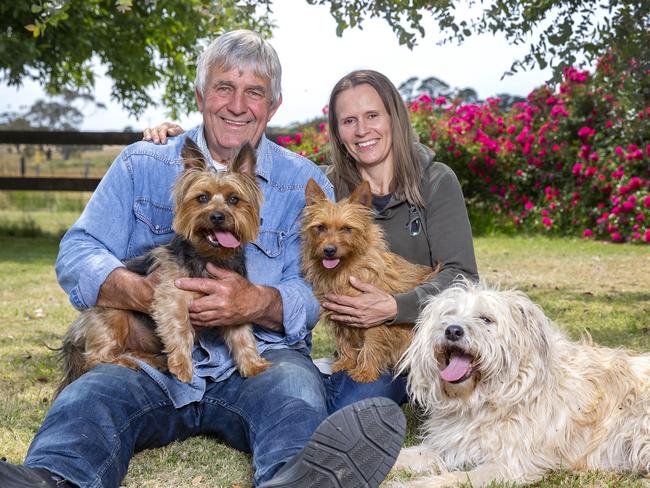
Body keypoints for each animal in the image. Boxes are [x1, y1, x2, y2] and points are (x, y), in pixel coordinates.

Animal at [55, 137, 268, 396]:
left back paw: (151, 360)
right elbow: (180, 327)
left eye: (234, 199)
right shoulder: (173, 296)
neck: (210, 256)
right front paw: (183, 368)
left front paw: (253, 365)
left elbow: (242, 335)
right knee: (97, 357)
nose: (217, 216)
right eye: (202, 198)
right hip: (112, 314)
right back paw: (126, 361)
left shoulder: (233, 301)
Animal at [300, 178, 436, 382]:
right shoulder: (340, 316)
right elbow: (344, 341)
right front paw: (345, 363)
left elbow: (371, 345)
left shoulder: (374, 318)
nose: (329, 250)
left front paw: (365, 372)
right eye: (321, 227)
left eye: (347, 229)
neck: (345, 271)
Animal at [390, 280, 648, 486]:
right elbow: (401, 455)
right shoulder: (447, 446)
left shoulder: (510, 465)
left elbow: (453, 479)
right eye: (449, 314)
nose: (453, 331)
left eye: (486, 319)